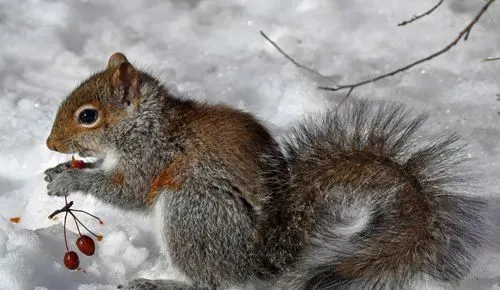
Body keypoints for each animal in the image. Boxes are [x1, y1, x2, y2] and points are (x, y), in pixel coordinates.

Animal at [44, 52, 484, 290]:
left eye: (88, 116)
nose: (50, 144)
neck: (145, 123)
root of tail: (258, 260)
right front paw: (60, 169)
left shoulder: (153, 157)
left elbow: (130, 192)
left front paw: (70, 178)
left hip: (191, 209)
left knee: (213, 282)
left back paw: (156, 283)